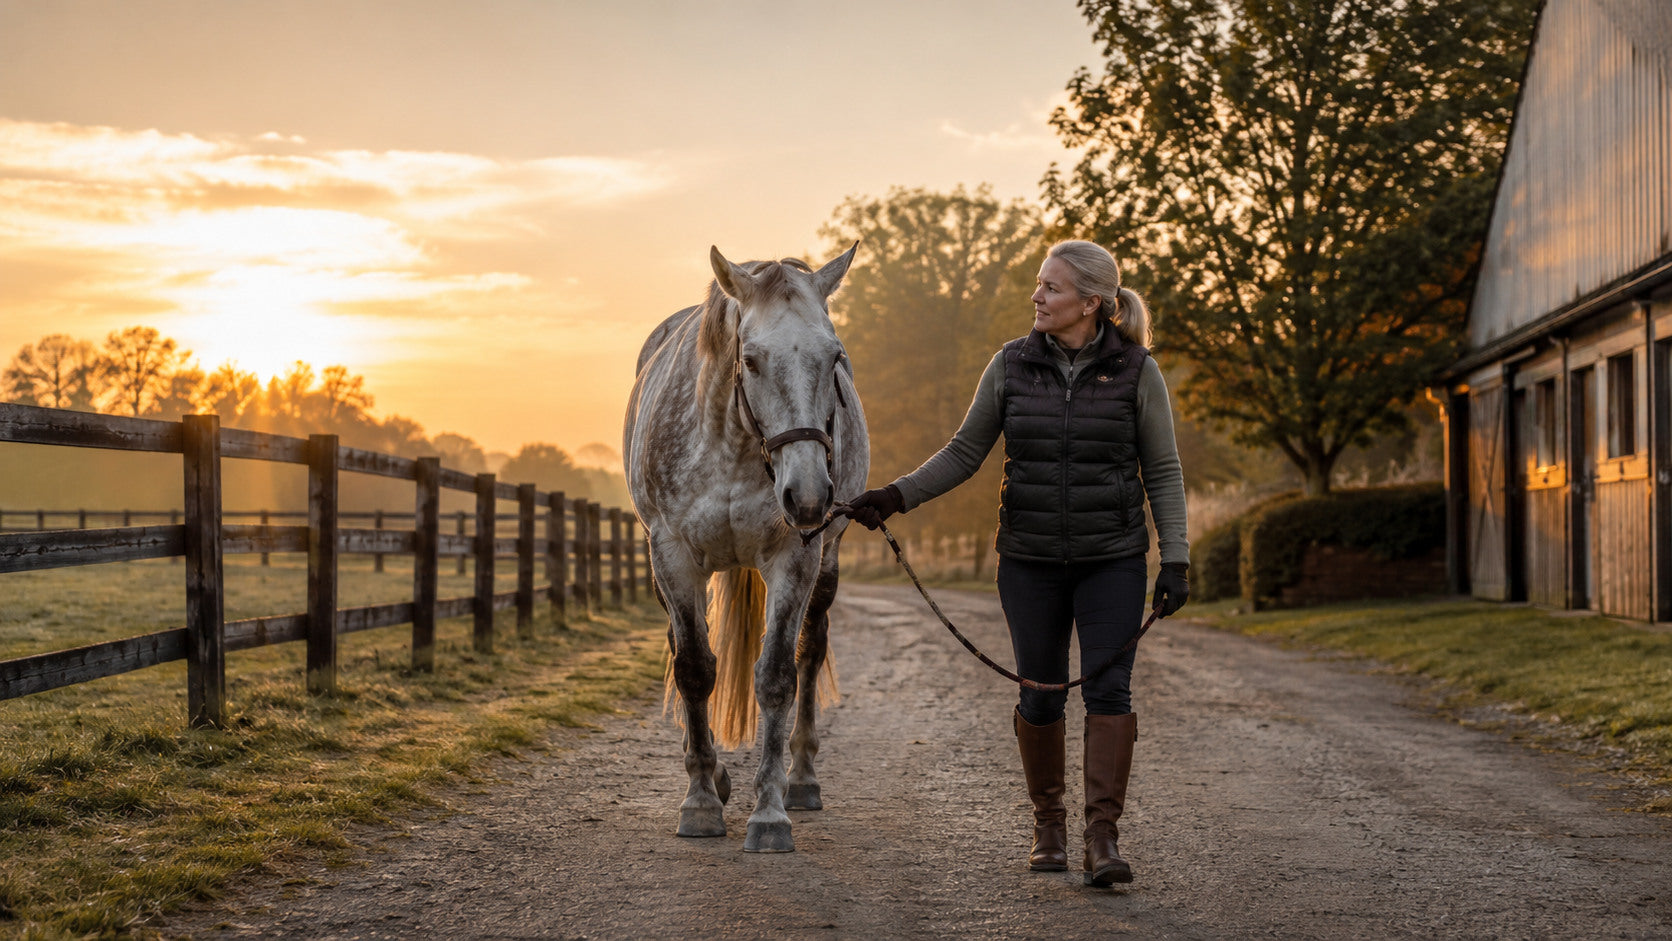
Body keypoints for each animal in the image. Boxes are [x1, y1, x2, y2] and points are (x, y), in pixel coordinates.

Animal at [623, 244, 868, 853]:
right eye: (751, 360)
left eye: (835, 357)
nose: (810, 494)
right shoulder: (673, 557)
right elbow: (693, 668)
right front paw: (701, 801)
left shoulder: (795, 556)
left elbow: (778, 675)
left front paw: (770, 814)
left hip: (827, 564)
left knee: (811, 651)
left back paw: (801, 779)